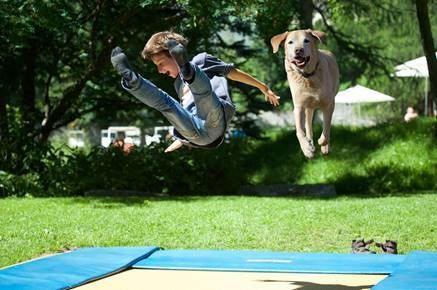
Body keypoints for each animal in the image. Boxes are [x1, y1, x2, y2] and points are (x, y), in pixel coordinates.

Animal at [270, 29, 338, 159]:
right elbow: (300, 131)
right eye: (290, 42)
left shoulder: (328, 104)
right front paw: (307, 149)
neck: (307, 77)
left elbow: (326, 127)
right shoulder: (299, 107)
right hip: (308, 108)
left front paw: (323, 143)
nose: (298, 50)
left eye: (306, 41)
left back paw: (324, 147)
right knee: (308, 125)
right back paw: (310, 143)